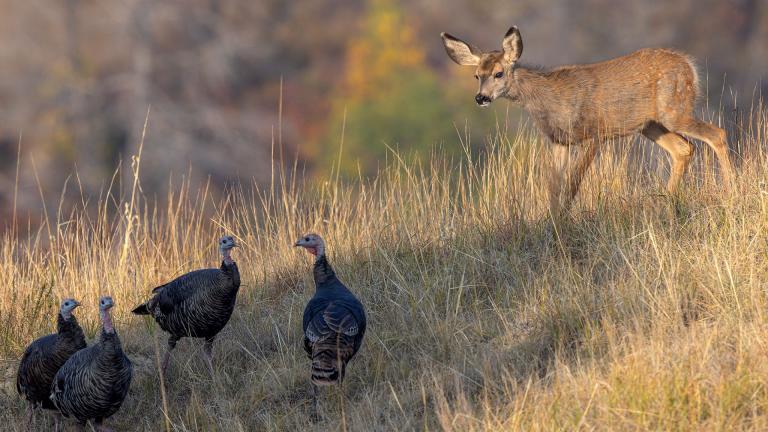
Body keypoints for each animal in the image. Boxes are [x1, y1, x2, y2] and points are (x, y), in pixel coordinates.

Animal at [441, 26, 734, 214]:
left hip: (674, 109)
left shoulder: (593, 133)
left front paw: (563, 222)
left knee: (716, 133)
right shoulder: (559, 141)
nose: (481, 98)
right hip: (651, 125)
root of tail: (690, 66)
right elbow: (554, 188)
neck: (548, 100)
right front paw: (552, 222)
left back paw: (731, 191)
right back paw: (667, 201)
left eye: (499, 73)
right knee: (684, 148)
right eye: (476, 75)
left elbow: (572, 185)